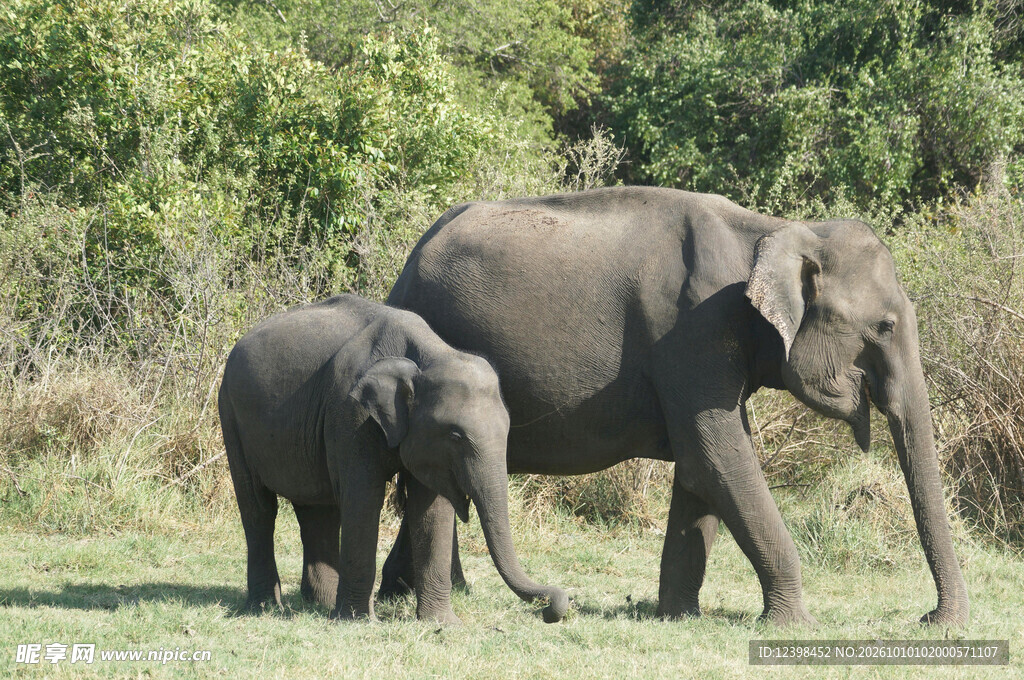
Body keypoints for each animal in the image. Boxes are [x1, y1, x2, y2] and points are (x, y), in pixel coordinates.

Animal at [218, 294, 568, 624]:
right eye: (455, 436)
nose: (552, 608)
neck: (430, 354)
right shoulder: (350, 413)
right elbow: (363, 498)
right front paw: (359, 621)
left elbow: (431, 508)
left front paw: (443, 623)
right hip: (231, 415)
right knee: (259, 508)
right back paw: (267, 608)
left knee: (317, 509)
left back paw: (322, 605)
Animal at [380, 186, 969, 626]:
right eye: (885, 326)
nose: (931, 620)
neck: (774, 230)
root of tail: (406, 265)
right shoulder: (693, 335)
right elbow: (716, 457)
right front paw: (793, 624)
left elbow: (701, 469)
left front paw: (678, 615)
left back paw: (407, 593)